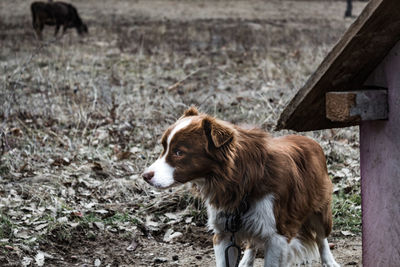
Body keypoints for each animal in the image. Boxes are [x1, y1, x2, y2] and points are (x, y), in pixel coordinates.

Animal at [142, 108, 340, 267]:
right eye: (164, 147)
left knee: (321, 237)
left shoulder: (278, 236)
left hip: (320, 209)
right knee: (253, 242)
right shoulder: (223, 233)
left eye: (179, 152)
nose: (145, 176)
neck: (241, 181)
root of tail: (308, 139)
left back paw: (329, 261)